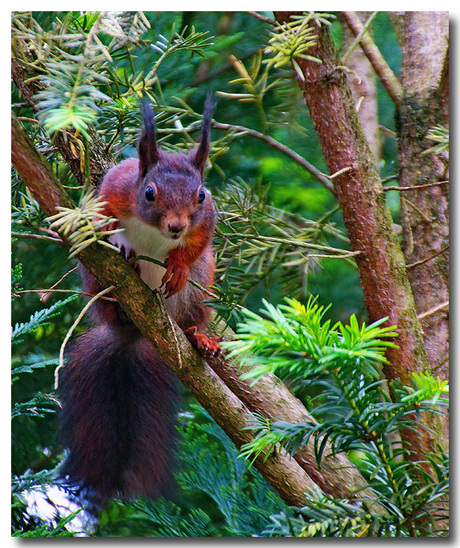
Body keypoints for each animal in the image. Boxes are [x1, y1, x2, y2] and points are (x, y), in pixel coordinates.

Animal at [58, 95, 219, 500]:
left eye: (201, 195)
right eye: (149, 193)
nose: (176, 226)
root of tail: (135, 332)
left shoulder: (206, 221)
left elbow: (197, 244)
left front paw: (177, 265)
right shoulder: (115, 189)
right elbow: (100, 210)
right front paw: (108, 231)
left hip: (199, 290)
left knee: (192, 317)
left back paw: (199, 337)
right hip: (95, 279)